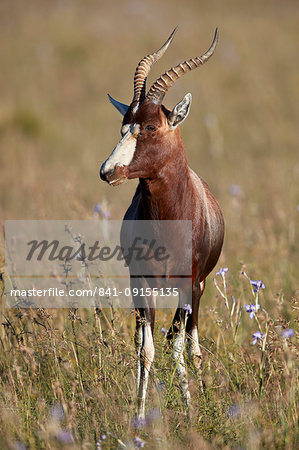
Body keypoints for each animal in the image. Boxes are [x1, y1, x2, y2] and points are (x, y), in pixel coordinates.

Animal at [101, 29, 225, 422]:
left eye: (152, 126)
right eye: (124, 126)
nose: (108, 171)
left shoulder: (192, 284)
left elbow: (181, 348)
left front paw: (191, 411)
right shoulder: (141, 282)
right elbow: (147, 350)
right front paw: (139, 417)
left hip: (197, 291)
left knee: (189, 343)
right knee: (148, 339)